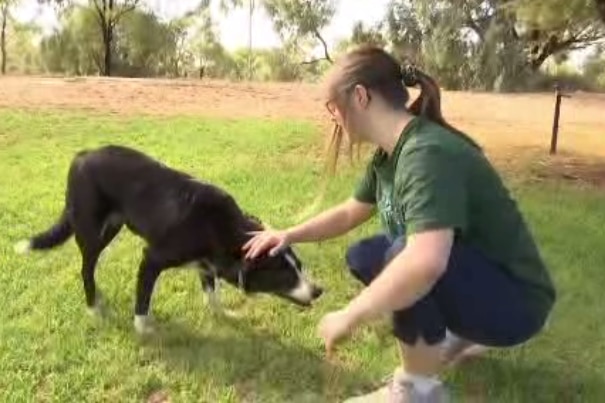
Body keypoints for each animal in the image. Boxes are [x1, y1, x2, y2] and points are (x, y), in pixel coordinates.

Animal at [14, 145, 324, 334]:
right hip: (90, 233)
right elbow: (143, 300)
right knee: (85, 269)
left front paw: (223, 315)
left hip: (110, 229)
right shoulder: (151, 258)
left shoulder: (205, 265)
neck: (219, 226)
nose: (319, 290)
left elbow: (212, 295)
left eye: (299, 266)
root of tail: (82, 155)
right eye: (284, 272)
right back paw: (93, 308)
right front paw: (143, 329)